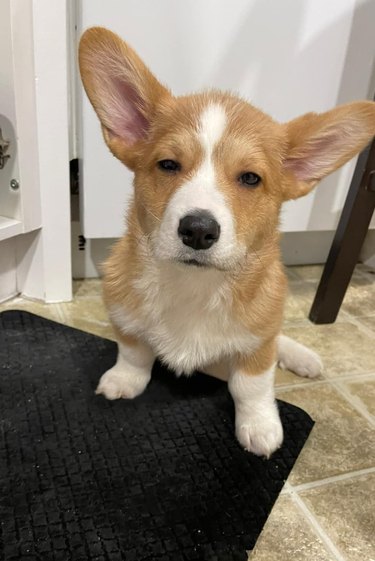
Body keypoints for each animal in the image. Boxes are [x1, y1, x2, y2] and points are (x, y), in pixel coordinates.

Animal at [79, 27, 375, 456]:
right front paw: (125, 380)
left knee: (277, 338)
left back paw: (302, 357)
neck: (194, 284)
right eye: (168, 165)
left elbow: (251, 384)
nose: (198, 230)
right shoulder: (123, 313)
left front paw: (261, 427)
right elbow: (134, 351)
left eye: (250, 178)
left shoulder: (257, 344)